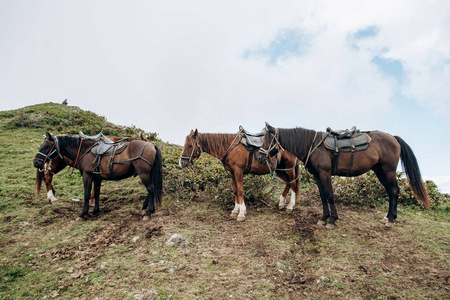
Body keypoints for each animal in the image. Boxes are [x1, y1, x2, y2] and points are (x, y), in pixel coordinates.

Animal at [33, 132, 163, 220]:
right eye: (41, 145)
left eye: (46, 146)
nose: (36, 163)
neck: (85, 150)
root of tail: (152, 147)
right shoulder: (97, 177)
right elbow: (96, 193)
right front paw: (95, 210)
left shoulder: (87, 176)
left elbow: (86, 194)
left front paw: (83, 214)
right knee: (48, 177)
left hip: (144, 174)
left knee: (151, 190)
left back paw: (148, 212)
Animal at [256, 123, 428, 229]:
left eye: (268, 139)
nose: (259, 156)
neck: (313, 145)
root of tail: (393, 137)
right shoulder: (318, 176)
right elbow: (323, 196)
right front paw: (323, 218)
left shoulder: (325, 173)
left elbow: (330, 195)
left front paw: (332, 220)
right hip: (380, 171)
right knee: (390, 191)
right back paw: (388, 217)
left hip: (389, 170)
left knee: (393, 191)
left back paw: (391, 220)